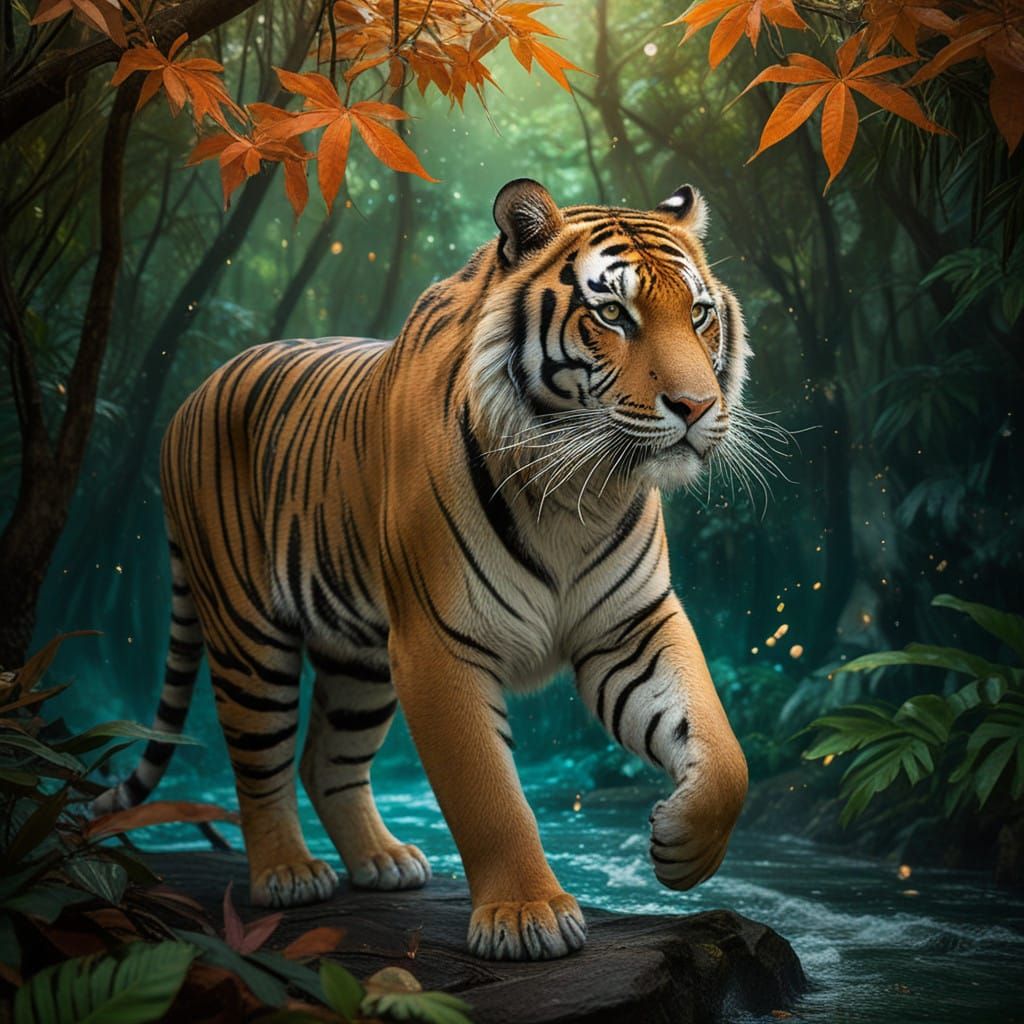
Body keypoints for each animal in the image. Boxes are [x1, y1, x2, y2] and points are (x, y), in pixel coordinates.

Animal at [94, 179, 751, 962]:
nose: (697, 407)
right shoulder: (439, 644)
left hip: (359, 659)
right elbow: (488, 793)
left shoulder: (631, 623)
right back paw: (287, 873)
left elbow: (722, 752)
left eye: (699, 313)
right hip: (249, 637)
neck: (575, 494)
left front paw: (682, 846)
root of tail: (191, 395)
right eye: (614, 314)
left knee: (327, 760)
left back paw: (383, 862)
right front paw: (525, 915)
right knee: (260, 760)